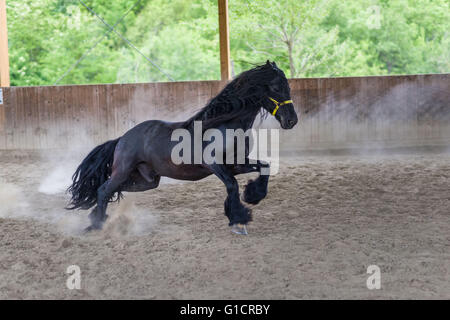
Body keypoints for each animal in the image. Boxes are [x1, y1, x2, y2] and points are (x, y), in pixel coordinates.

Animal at [67, 60, 298, 235]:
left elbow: (265, 167)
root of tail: (122, 138)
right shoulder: (215, 165)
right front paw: (238, 219)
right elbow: (232, 185)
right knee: (104, 190)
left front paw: (252, 196)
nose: (291, 121)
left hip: (146, 181)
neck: (224, 125)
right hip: (123, 171)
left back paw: (96, 218)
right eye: (276, 87)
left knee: (110, 190)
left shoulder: (237, 164)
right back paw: (96, 225)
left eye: (287, 86)